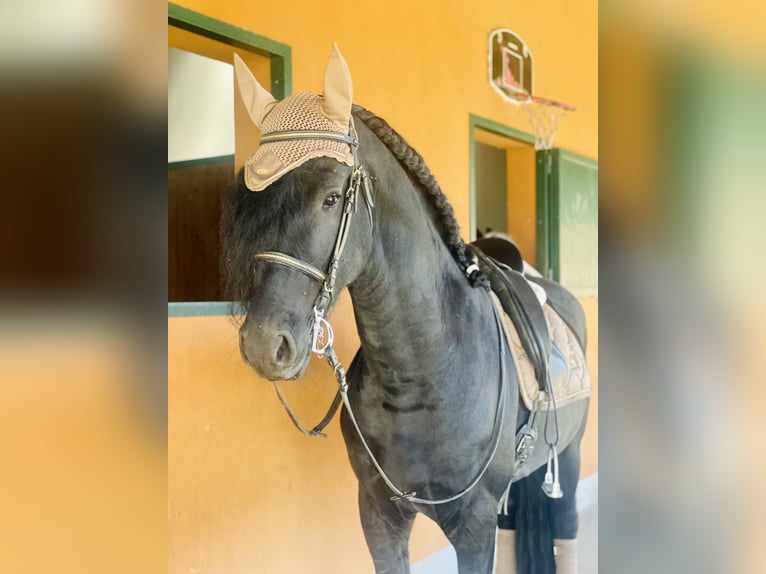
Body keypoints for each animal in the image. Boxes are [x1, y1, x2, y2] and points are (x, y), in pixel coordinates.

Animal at [221, 45, 590, 574]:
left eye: (331, 197)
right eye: (252, 201)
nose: (263, 343)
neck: (423, 369)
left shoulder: (474, 527)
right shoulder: (378, 512)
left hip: (573, 455)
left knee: (567, 529)